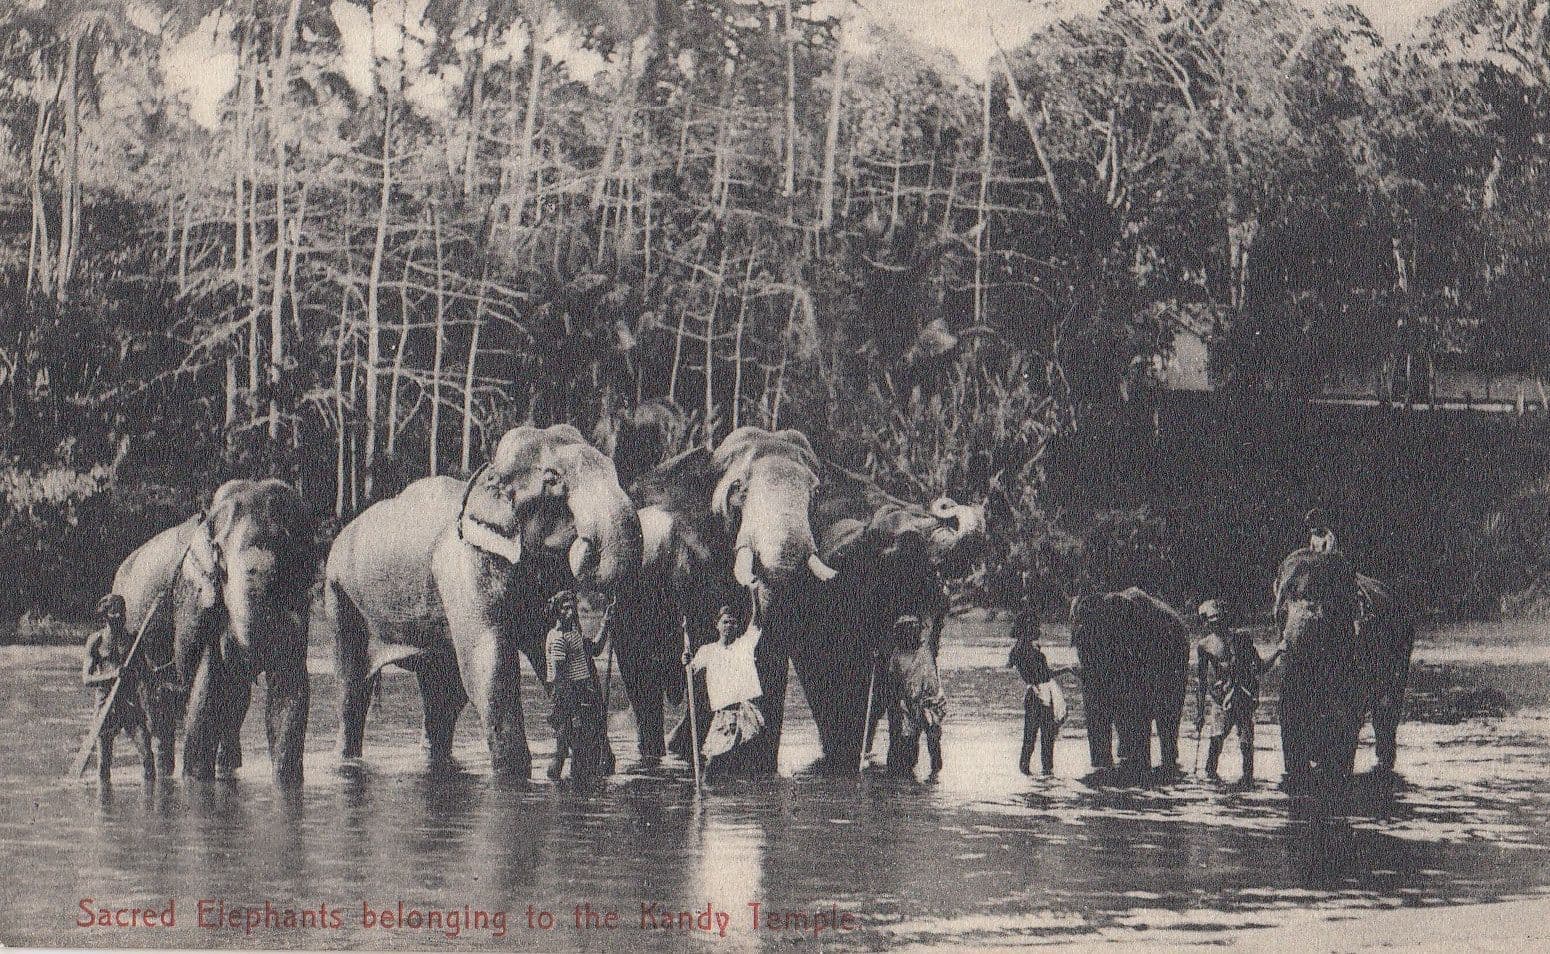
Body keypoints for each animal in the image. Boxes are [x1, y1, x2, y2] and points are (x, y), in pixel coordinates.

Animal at [112, 478, 317, 785]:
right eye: (218, 552)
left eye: (287, 545)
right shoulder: (194, 597)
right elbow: (207, 691)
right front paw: (196, 781)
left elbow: (288, 691)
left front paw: (286, 783)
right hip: (137, 646)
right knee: (158, 713)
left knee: (235, 707)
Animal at [325, 424, 642, 778]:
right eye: (552, 479)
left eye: (613, 468)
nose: (610, 604)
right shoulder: (465, 566)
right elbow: (490, 663)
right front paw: (513, 774)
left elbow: (555, 653)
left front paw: (597, 769)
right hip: (340, 594)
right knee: (351, 687)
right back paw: (346, 761)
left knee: (444, 694)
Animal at [1067, 587, 1190, 777]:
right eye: (1078, 643)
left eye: (1103, 642)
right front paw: (1102, 767)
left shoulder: (1148, 652)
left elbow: (1139, 711)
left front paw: (1139, 766)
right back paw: (1124, 754)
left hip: (1179, 665)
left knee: (1168, 715)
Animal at [1273, 548, 1415, 786]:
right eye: (1280, 614)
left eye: (1322, 616)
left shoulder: (1356, 647)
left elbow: (1345, 722)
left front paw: (1335, 775)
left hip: (1402, 653)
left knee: (1385, 715)